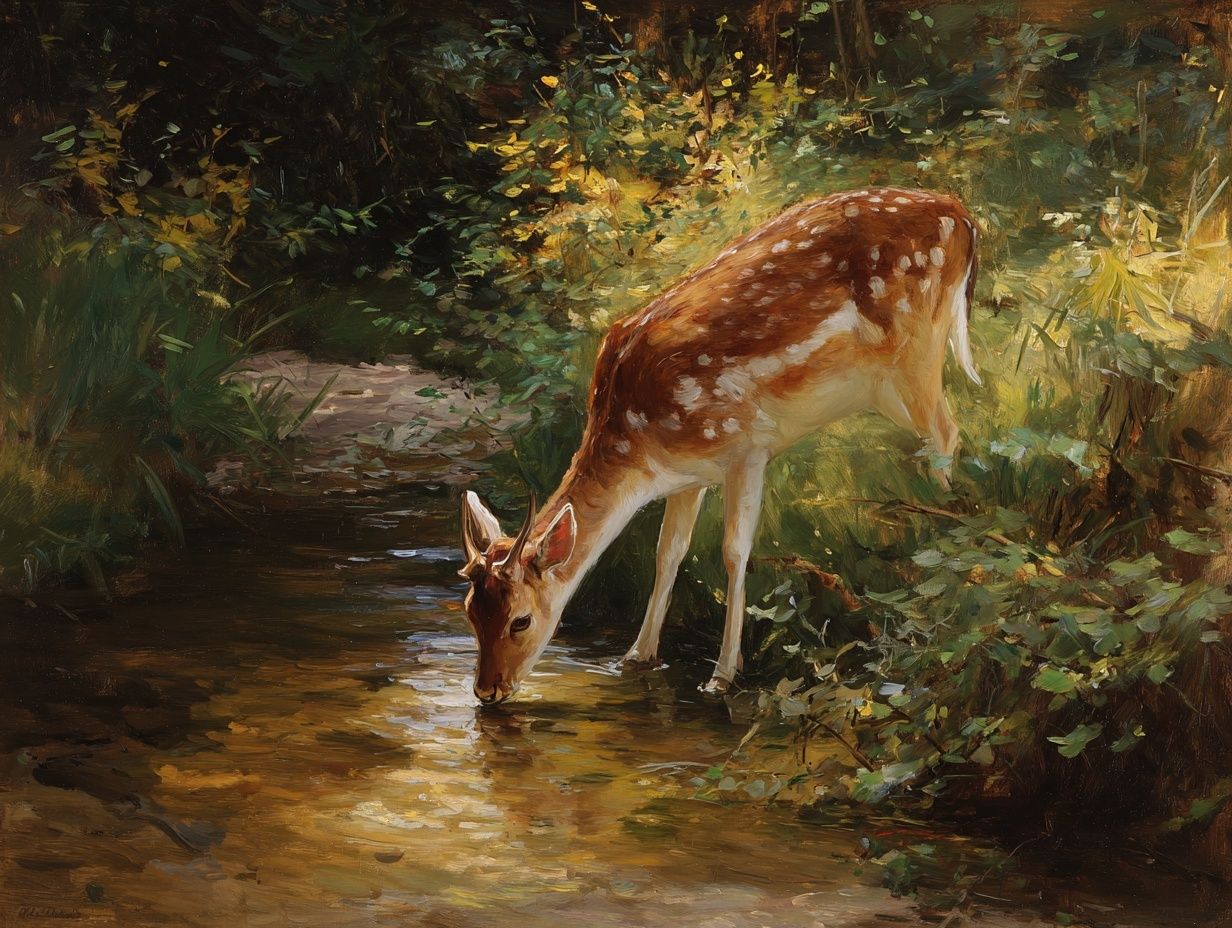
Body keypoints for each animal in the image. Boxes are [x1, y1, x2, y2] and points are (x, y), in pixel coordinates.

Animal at [459, 187, 980, 704]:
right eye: (468, 611)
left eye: (521, 620)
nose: (487, 690)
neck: (638, 446)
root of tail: (962, 215)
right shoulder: (687, 477)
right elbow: (668, 552)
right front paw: (635, 656)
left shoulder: (745, 444)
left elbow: (733, 550)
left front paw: (722, 675)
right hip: (890, 384)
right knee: (938, 437)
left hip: (917, 347)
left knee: (946, 431)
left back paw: (944, 539)